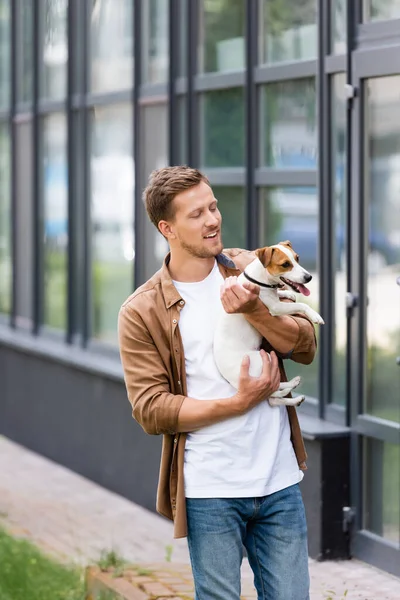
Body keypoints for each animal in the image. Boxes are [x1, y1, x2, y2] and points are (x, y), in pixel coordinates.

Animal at [214, 240, 324, 408]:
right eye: (285, 264)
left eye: (297, 258)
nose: (309, 277)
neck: (259, 278)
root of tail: (235, 382)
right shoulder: (275, 308)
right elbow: (302, 305)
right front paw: (315, 315)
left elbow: (282, 294)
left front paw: (287, 293)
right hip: (263, 359)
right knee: (273, 388)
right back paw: (291, 386)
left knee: (273, 397)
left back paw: (295, 393)